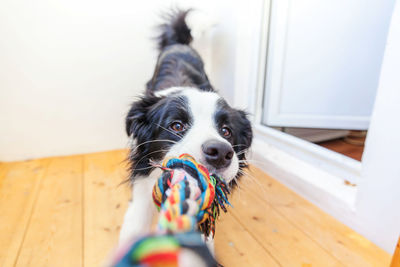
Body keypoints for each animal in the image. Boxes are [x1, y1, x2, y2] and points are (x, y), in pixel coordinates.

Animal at [118, 8, 253, 251]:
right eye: (177, 126)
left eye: (226, 131)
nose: (221, 152)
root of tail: (179, 43)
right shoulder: (142, 184)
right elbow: (135, 222)